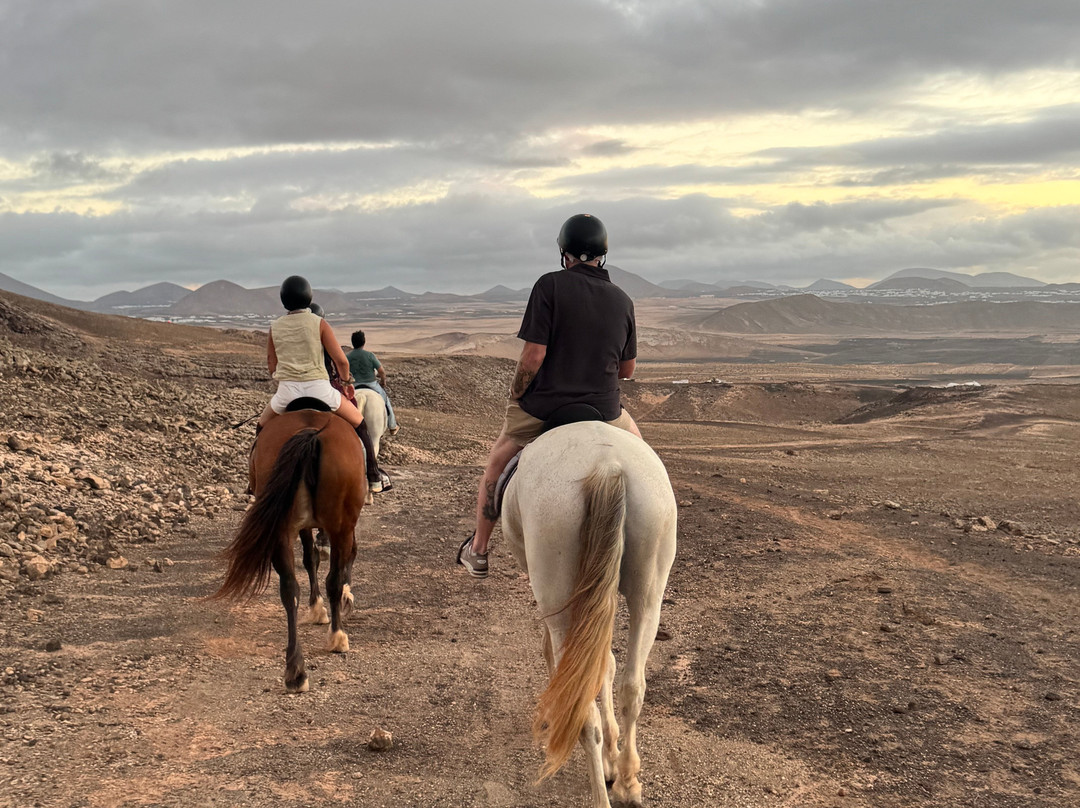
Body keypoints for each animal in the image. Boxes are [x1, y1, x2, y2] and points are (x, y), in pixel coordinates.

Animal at [214, 407, 368, 693]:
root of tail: (311, 433)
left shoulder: (303, 526)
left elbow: (310, 559)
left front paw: (317, 607)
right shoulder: (342, 528)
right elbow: (344, 559)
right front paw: (343, 599)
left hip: (281, 530)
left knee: (289, 588)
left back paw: (295, 670)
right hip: (340, 523)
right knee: (333, 578)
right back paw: (337, 637)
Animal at [501, 420, 677, 808]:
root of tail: (607, 464)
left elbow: (555, 657)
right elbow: (605, 665)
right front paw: (613, 756)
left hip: (559, 596)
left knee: (581, 705)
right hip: (648, 595)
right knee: (632, 687)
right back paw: (627, 781)